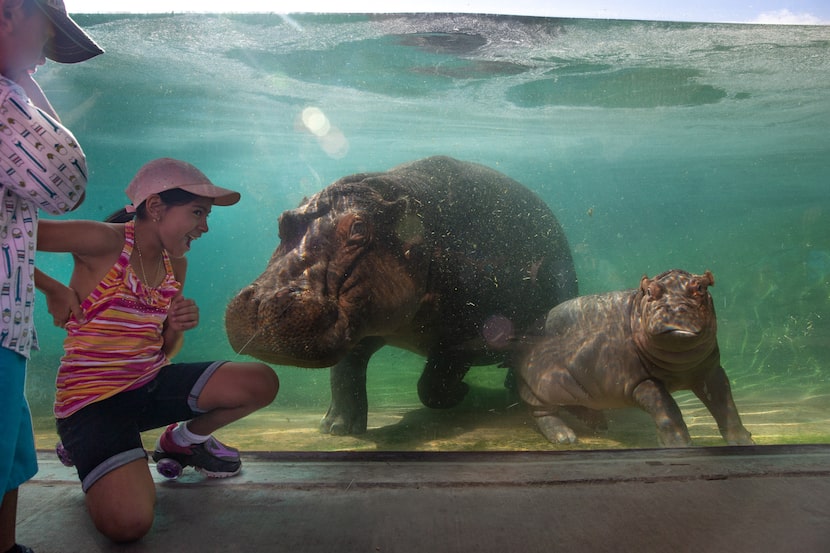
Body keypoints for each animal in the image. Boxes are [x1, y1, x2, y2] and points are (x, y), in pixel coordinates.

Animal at [225, 156, 578, 435]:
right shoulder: (368, 323)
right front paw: (336, 428)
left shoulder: (466, 336)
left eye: (358, 228)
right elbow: (345, 372)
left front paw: (463, 392)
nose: (261, 303)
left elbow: (431, 384)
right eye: (283, 220)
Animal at [516, 269, 754, 447]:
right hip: (541, 386)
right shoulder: (640, 381)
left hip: (580, 385)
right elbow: (668, 409)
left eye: (701, 287)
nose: (675, 309)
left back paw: (598, 423)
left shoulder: (711, 371)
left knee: (574, 404)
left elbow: (726, 406)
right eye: (649, 291)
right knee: (541, 411)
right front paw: (680, 445)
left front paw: (743, 441)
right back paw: (565, 437)